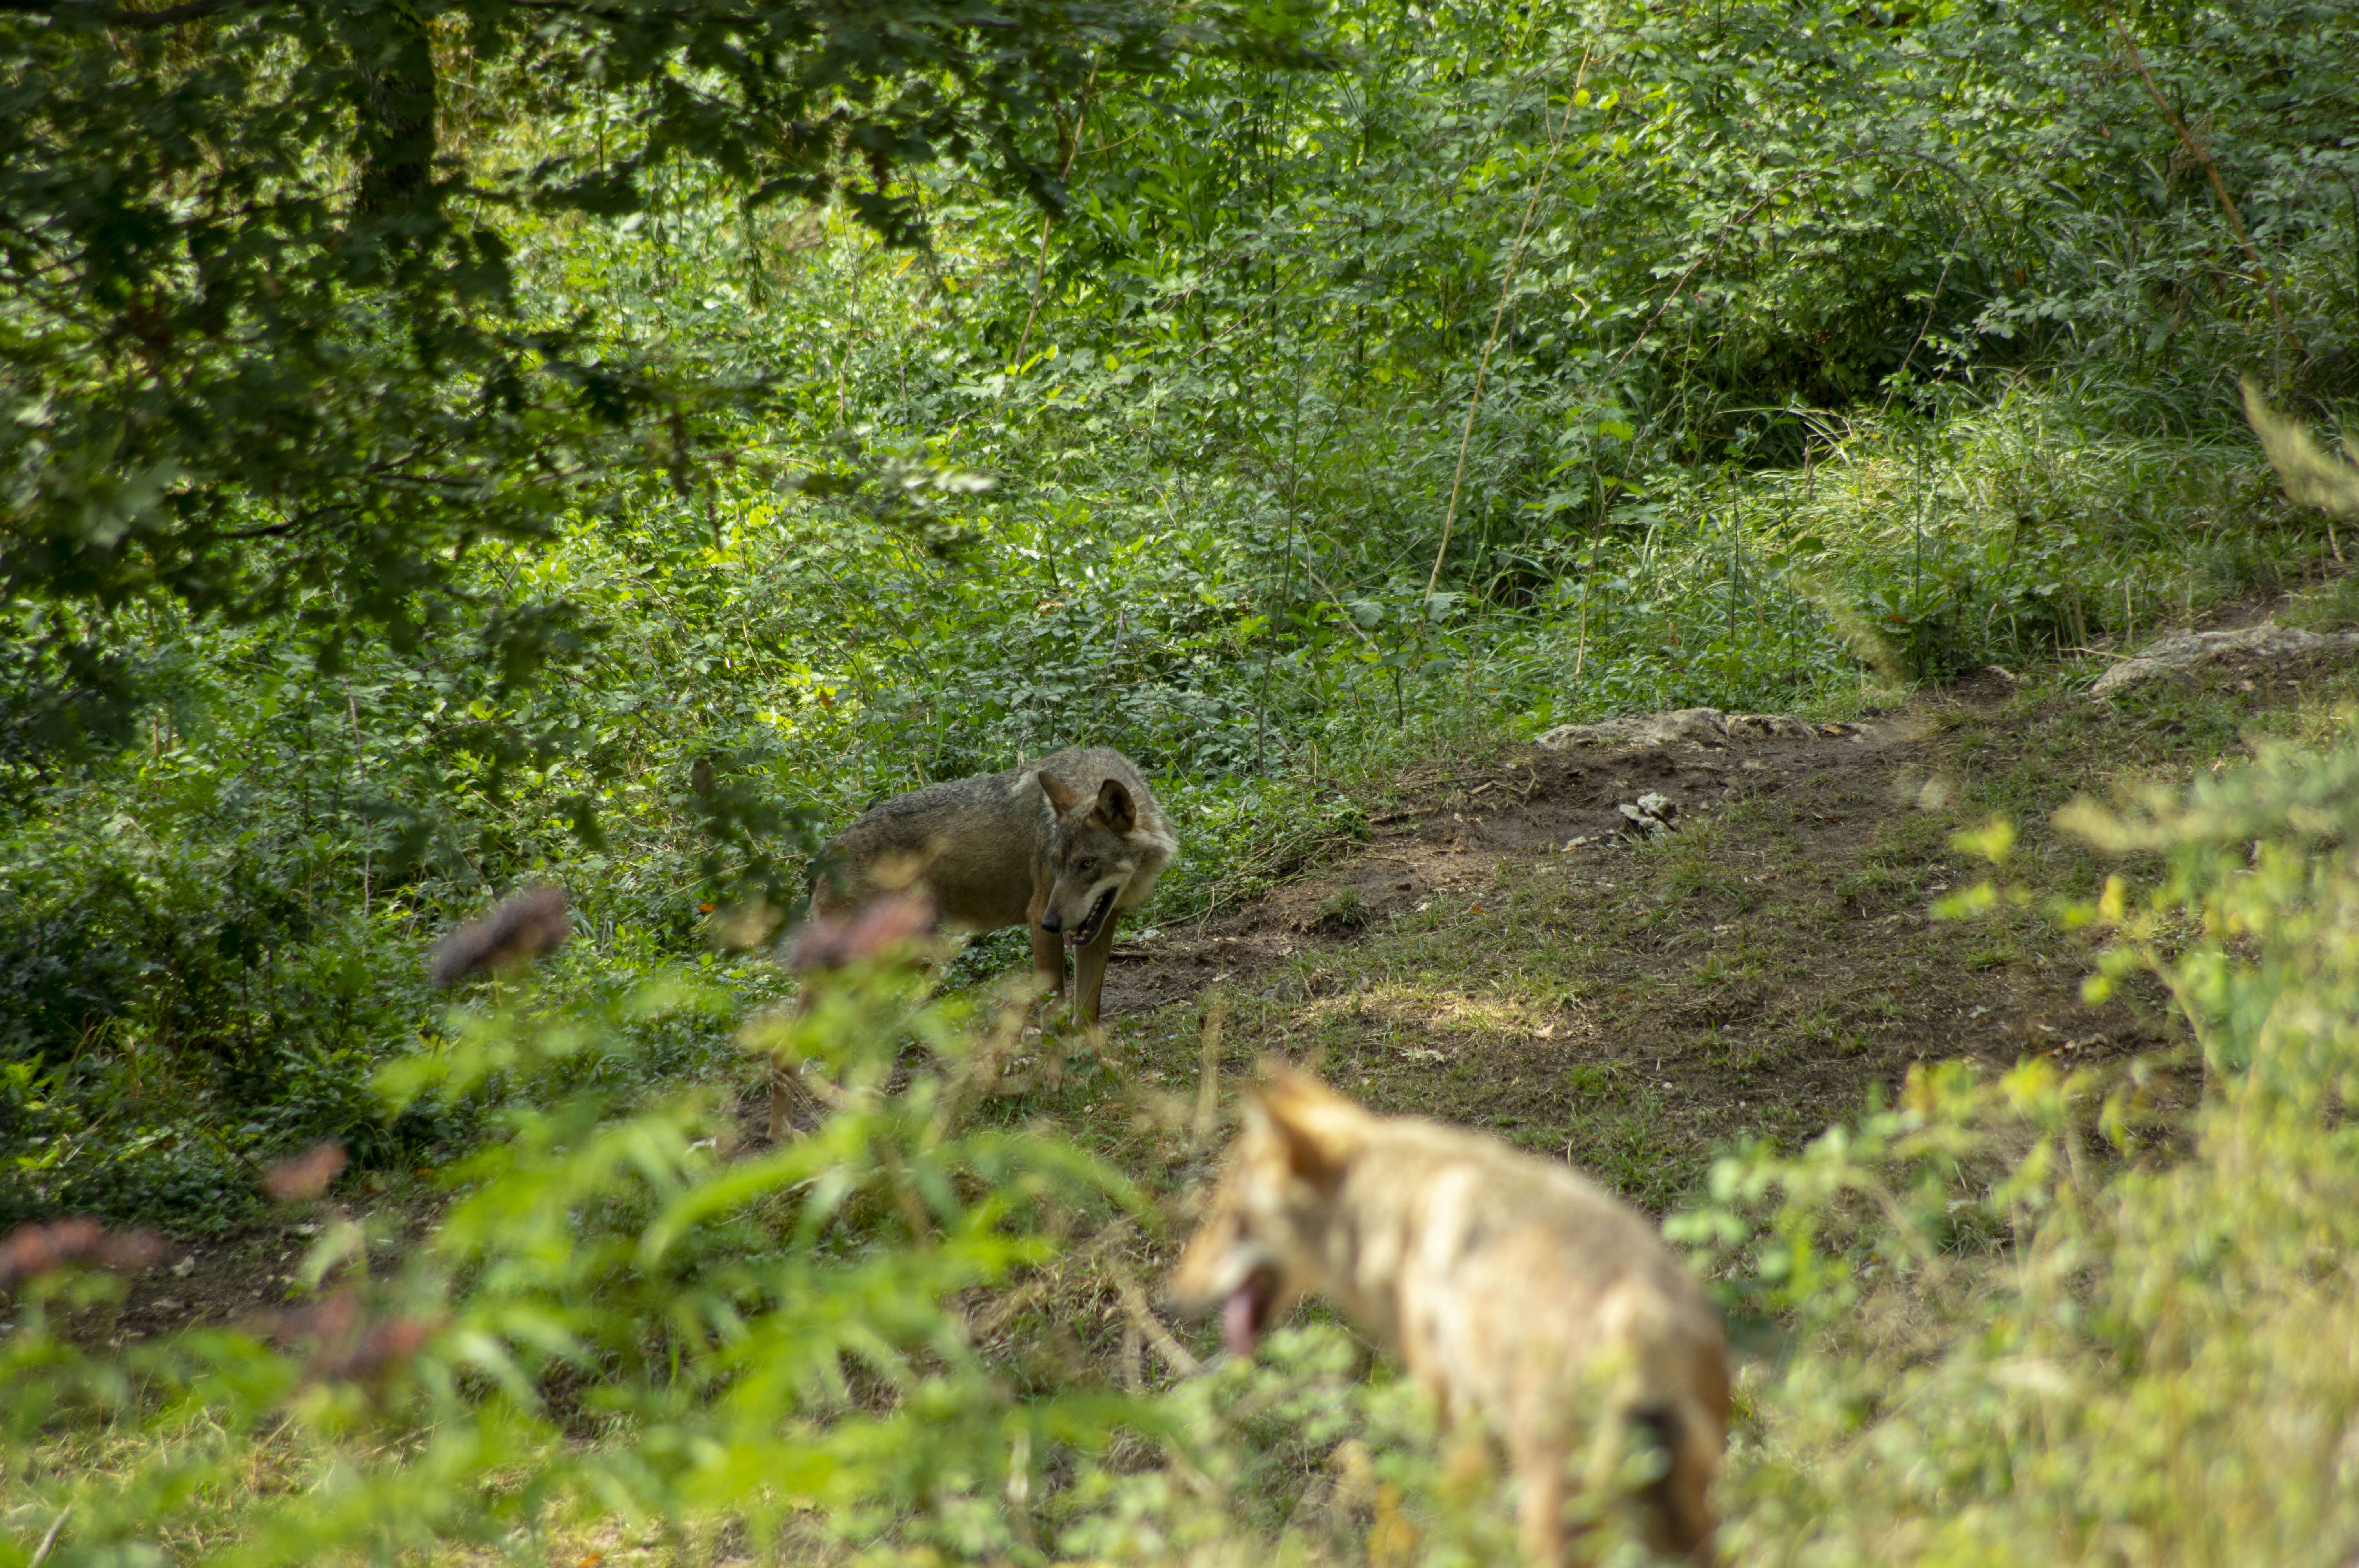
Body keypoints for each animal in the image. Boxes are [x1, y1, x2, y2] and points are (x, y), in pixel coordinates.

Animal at [769, 745, 1180, 1136]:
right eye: (1056, 863)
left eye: (1087, 864)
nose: (1052, 922)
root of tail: (823, 855)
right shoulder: (1038, 919)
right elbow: (1053, 1018)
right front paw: (1056, 1079)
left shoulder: (1101, 925)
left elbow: (1088, 1012)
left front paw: (1097, 1070)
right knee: (783, 1051)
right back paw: (787, 1135)